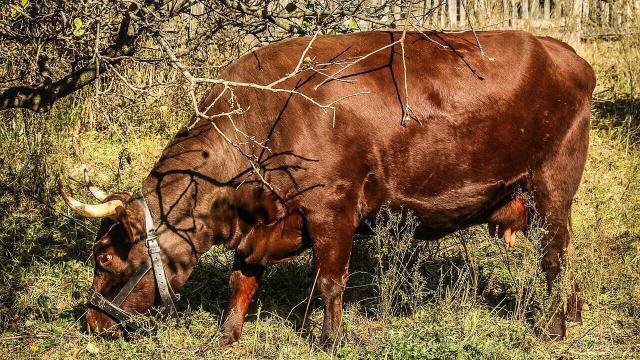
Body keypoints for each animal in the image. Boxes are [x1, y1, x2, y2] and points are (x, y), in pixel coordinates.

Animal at [63, 31, 596, 348]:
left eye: (103, 257)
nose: (90, 322)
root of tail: (564, 52)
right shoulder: (260, 224)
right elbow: (242, 280)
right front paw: (225, 335)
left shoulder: (332, 208)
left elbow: (330, 280)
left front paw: (328, 340)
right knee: (562, 258)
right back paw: (567, 316)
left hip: (551, 186)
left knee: (554, 258)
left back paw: (553, 328)